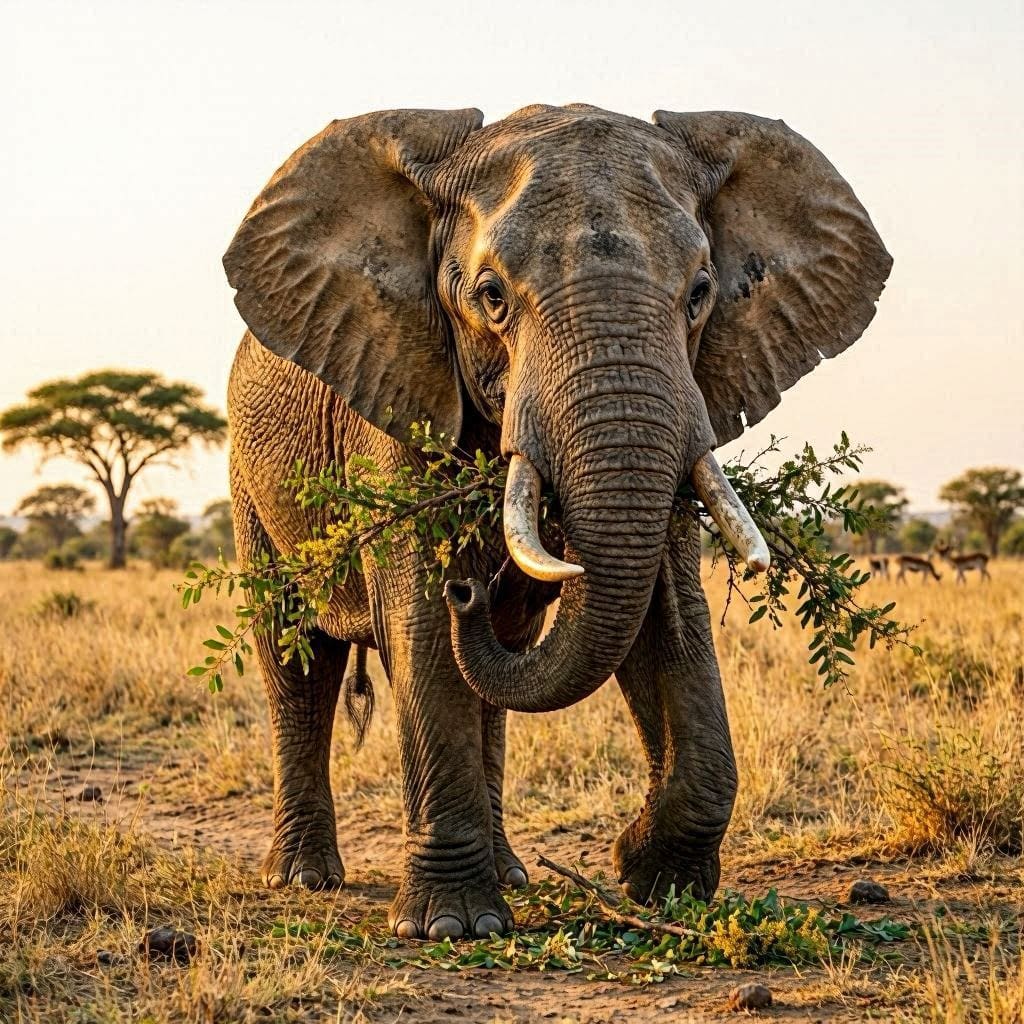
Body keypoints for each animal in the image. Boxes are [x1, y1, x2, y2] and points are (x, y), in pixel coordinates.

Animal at [224, 104, 890, 941]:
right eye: (491, 296)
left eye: (701, 291)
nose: (470, 593)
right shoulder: (398, 392)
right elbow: (417, 618)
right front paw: (453, 927)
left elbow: (665, 613)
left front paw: (653, 876)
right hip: (249, 481)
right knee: (297, 662)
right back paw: (305, 878)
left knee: (493, 677)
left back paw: (511, 868)